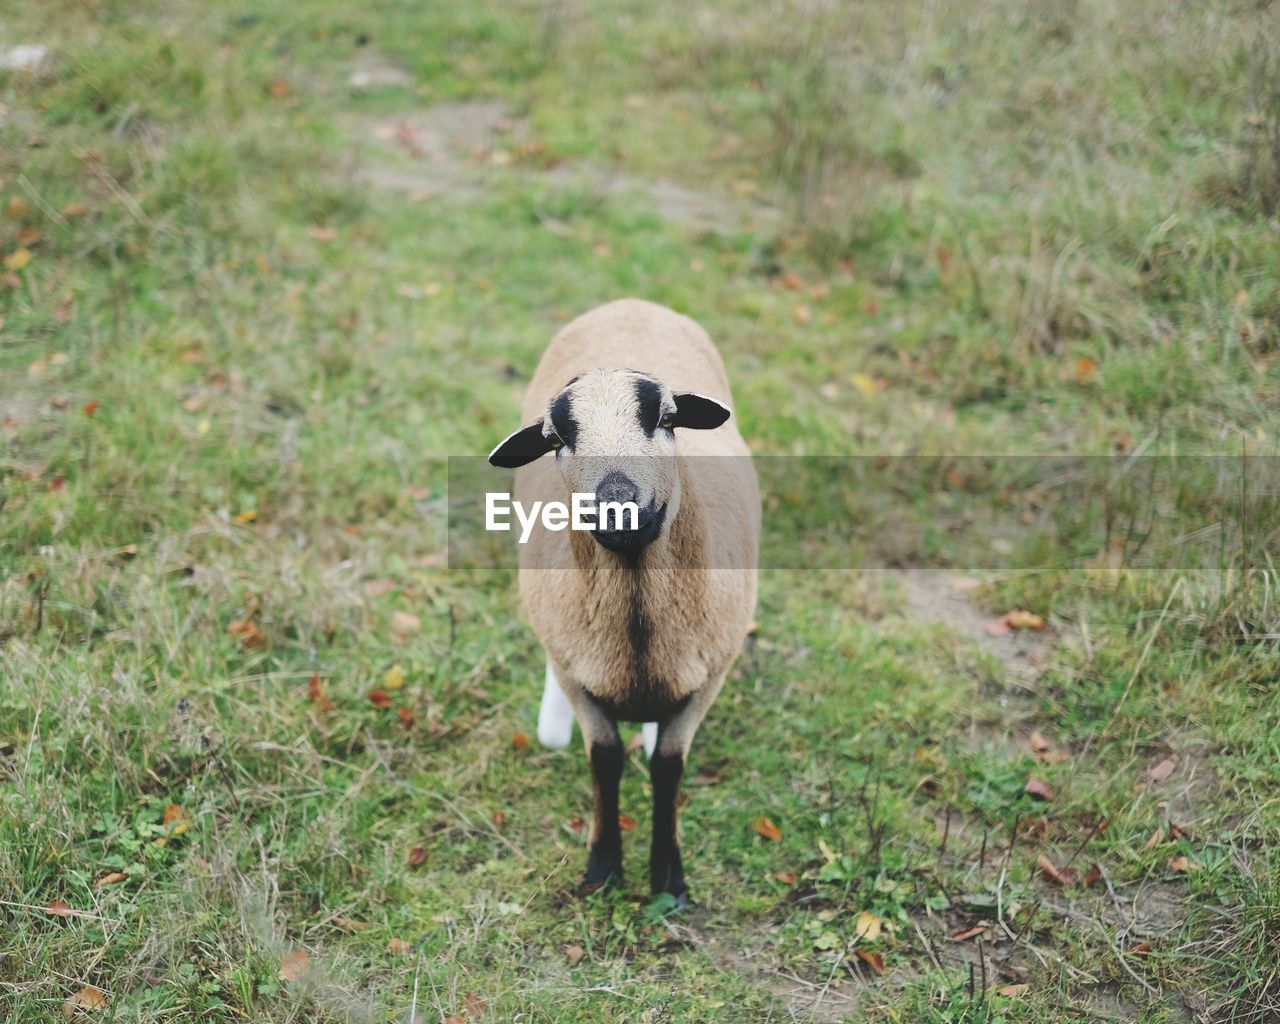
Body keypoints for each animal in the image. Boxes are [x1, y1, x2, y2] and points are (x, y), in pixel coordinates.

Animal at [483, 298, 752, 906]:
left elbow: (667, 766)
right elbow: (604, 761)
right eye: (557, 437)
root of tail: (630, 303)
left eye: (666, 418)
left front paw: (668, 878)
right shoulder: (580, 681)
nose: (617, 505)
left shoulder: (709, 680)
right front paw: (604, 867)